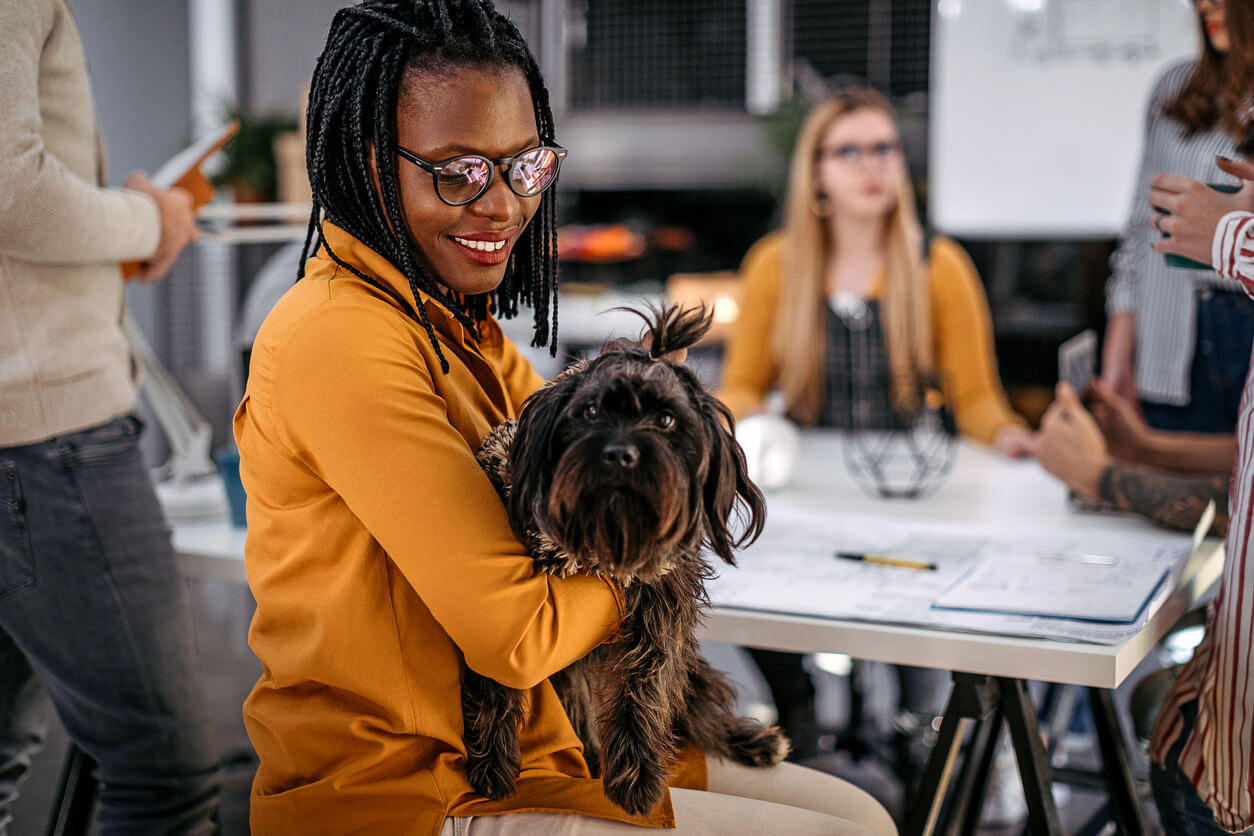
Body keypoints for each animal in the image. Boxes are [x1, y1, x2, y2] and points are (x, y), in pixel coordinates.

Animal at [466, 304, 787, 812]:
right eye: (591, 410)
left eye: (667, 420)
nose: (619, 454)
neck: (606, 535)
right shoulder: (506, 618)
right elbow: (501, 678)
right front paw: (494, 763)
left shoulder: (660, 612)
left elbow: (645, 688)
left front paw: (635, 777)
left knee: (698, 707)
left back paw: (748, 740)